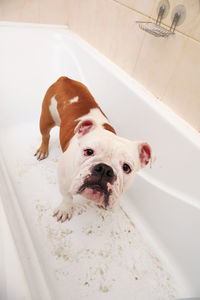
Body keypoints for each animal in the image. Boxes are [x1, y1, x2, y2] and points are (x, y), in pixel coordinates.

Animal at [35, 77, 153, 223]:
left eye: (126, 167)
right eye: (89, 151)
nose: (105, 169)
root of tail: (64, 79)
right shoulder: (64, 181)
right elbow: (67, 196)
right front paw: (65, 209)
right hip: (46, 118)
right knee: (46, 135)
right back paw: (42, 150)